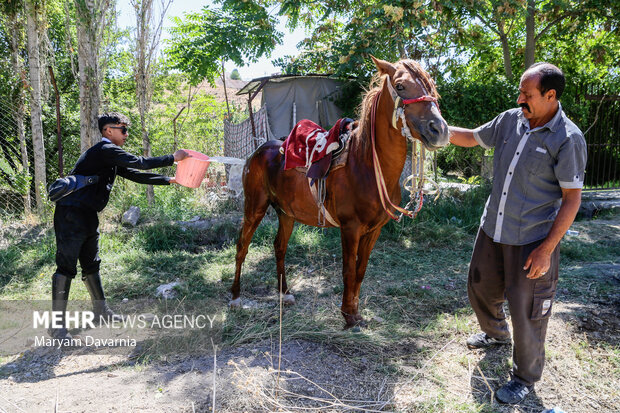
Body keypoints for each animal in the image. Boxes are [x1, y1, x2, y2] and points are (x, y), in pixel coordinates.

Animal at [230, 58, 448, 326]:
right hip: (254, 208)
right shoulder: (350, 228)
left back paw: (285, 293)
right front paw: (348, 315)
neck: (367, 165)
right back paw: (235, 297)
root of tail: (258, 150)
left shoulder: (374, 230)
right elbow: (348, 270)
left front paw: (356, 311)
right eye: (400, 85)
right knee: (242, 246)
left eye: (430, 84)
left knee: (279, 247)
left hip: (286, 214)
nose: (439, 130)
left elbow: (361, 270)